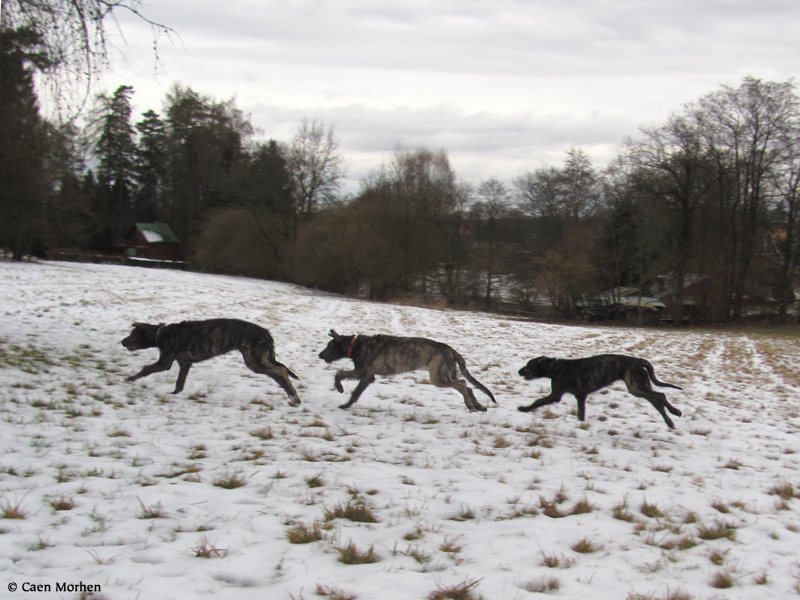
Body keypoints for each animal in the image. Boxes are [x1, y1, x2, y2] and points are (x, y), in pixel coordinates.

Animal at [122, 316, 300, 406]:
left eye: (133, 334)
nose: (122, 342)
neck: (161, 334)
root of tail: (267, 334)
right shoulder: (184, 363)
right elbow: (180, 383)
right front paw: (173, 395)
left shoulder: (164, 362)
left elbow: (146, 369)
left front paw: (130, 378)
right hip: (258, 358)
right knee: (280, 371)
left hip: (254, 359)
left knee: (280, 371)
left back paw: (294, 397)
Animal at [318, 330, 494, 410]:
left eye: (329, 346)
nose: (320, 355)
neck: (354, 346)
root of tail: (451, 350)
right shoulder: (368, 376)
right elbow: (355, 390)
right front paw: (347, 402)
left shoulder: (364, 372)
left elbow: (341, 375)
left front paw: (342, 395)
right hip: (447, 372)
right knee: (467, 385)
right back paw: (478, 405)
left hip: (438, 376)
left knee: (462, 384)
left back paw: (470, 405)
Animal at [520, 354, 680, 428]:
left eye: (529, 364)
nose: (518, 371)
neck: (554, 367)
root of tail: (638, 360)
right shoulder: (580, 397)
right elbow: (580, 414)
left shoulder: (555, 395)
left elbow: (538, 401)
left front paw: (524, 408)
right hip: (642, 386)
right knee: (658, 402)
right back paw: (670, 421)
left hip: (636, 387)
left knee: (661, 395)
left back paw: (675, 412)